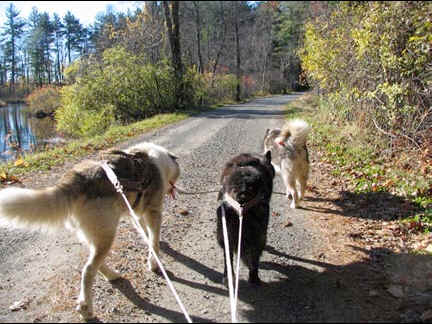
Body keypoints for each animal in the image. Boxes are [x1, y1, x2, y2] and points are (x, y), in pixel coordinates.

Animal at [0, 141, 180, 318]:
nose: (174, 189)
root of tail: (74, 180)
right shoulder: (153, 212)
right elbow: (154, 241)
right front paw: (154, 263)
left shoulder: (135, 213)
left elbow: (146, 234)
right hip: (107, 234)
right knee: (88, 270)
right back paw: (86, 307)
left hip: (94, 234)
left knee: (96, 264)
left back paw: (112, 276)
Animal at [218, 151, 276, 284]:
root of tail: (242, 195)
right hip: (260, 235)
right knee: (254, 259)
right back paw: (254, 278)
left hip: (225, 234)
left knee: (228, 258)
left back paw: (228, 277)